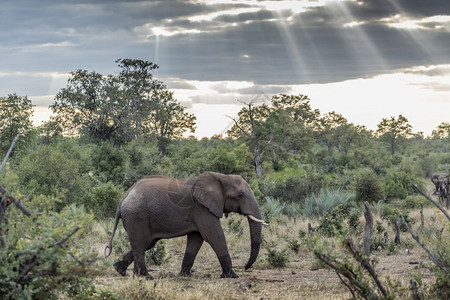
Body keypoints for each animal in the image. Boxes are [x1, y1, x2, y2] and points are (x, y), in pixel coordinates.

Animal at [105, 172, 268, 280]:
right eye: (240, 195)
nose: (245, 267)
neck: (221, 177)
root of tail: (123, 198)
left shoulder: (199, 211)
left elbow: (196, 240)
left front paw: (185, 275)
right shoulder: (201, 208)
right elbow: (214, 236)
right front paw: (232, 276)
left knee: (147, 243)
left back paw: (122, 271)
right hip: (137, 216)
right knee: (141, 244)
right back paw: (146, 277)